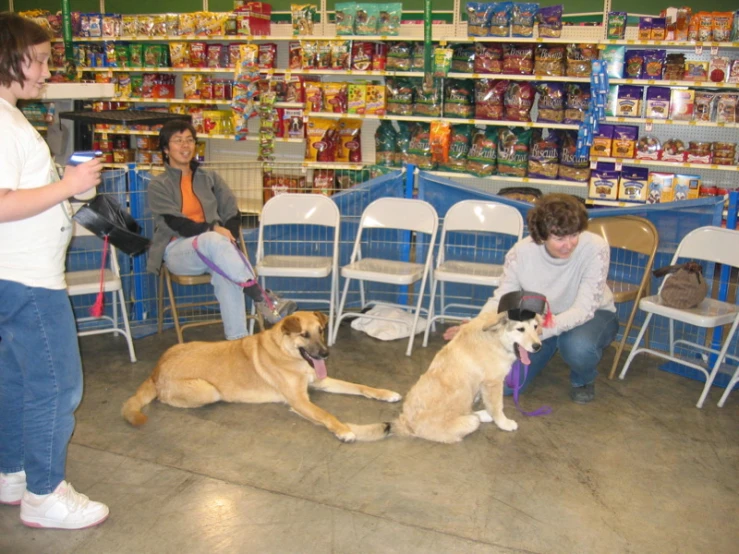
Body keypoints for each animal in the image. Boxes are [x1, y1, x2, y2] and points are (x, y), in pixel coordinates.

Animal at [123, 310, 398, 440]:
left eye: (321, 330)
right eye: (304, 335)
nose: (325, 354)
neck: (286, 352)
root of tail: (156, 369)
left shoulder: (321, 381)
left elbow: (360, 386)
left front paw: (386, 393)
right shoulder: (299, 401)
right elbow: (326, 414)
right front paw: (344, 430)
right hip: (208, 391)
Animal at [350, 312, 540, 442]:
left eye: (536, 327)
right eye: (520, 329)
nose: (538, 346)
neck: (495, 338)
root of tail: (405, 424)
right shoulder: (493, 383)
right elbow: (497, 408)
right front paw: (504, 423)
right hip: (470, 422)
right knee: (473, 419)